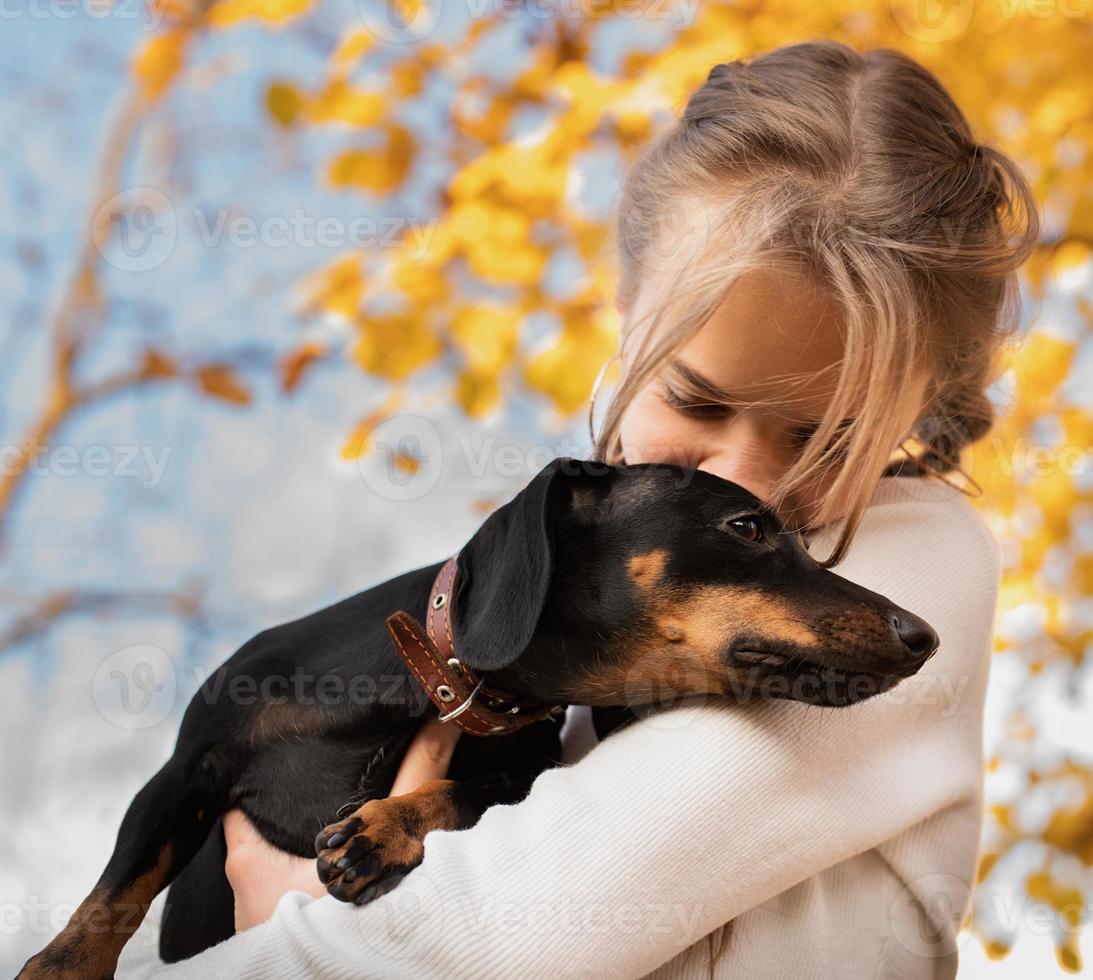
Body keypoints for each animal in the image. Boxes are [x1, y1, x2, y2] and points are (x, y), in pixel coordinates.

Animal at [19, 454, 939, 974]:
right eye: (746, 526)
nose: (923, 635)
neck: (444, 686)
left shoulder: (515, 773)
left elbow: (467, 793)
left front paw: (381, 828)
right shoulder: (182, 774)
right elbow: (109, 902)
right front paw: (54, 968)